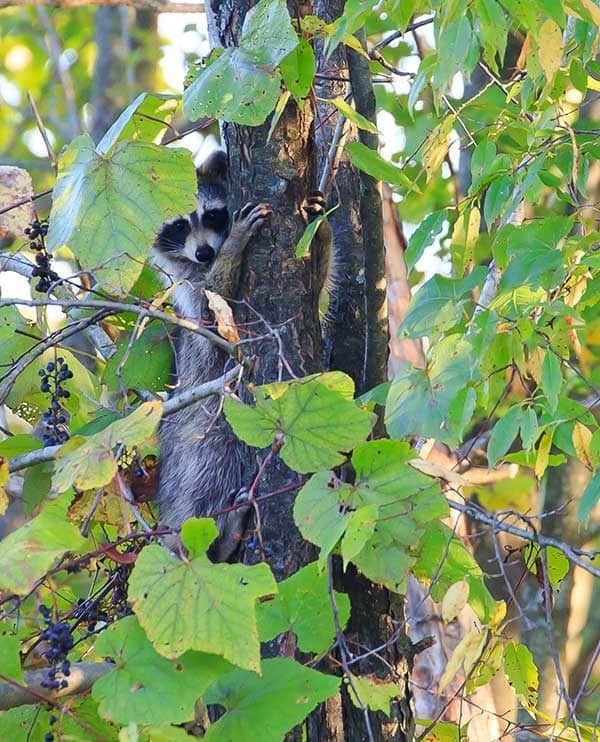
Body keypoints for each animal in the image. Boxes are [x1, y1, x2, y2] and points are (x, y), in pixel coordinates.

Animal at [152, 150, 272, 558]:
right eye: (177, 226)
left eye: (212, 216)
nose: (206, 252)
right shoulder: (190, 291)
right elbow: (214, 320)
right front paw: (235, 244)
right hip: (198, 439)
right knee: (207, 476)